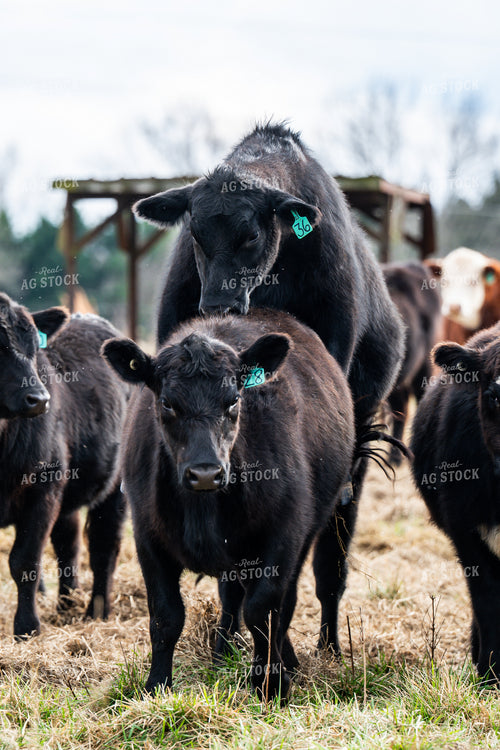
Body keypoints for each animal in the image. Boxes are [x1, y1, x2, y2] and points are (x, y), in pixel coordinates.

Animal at [0, 293, 129, 637]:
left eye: (34, 347)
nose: (39, 399)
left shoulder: (42, 490)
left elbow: (25, 561)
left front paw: (27, 628)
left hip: (114, 486)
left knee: (103, 547)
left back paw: (97, 611)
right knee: (68, 545)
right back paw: (66, 605)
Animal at [102, 308, 356, 701]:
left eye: (234, 400)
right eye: (167, 403)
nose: (205, 473)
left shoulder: (282, 537)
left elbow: (263, 611)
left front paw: (270, 684)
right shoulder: (148, 538)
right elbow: (166, 615)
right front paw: (157, 685)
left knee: (283, 604)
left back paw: (286, 662)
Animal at [132, 122, 405, 655]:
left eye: (252, 233)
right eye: (195, 234)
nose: (217, 304)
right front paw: (224, 641)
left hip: (358, 451)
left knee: (329, 562)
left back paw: (327, 645)